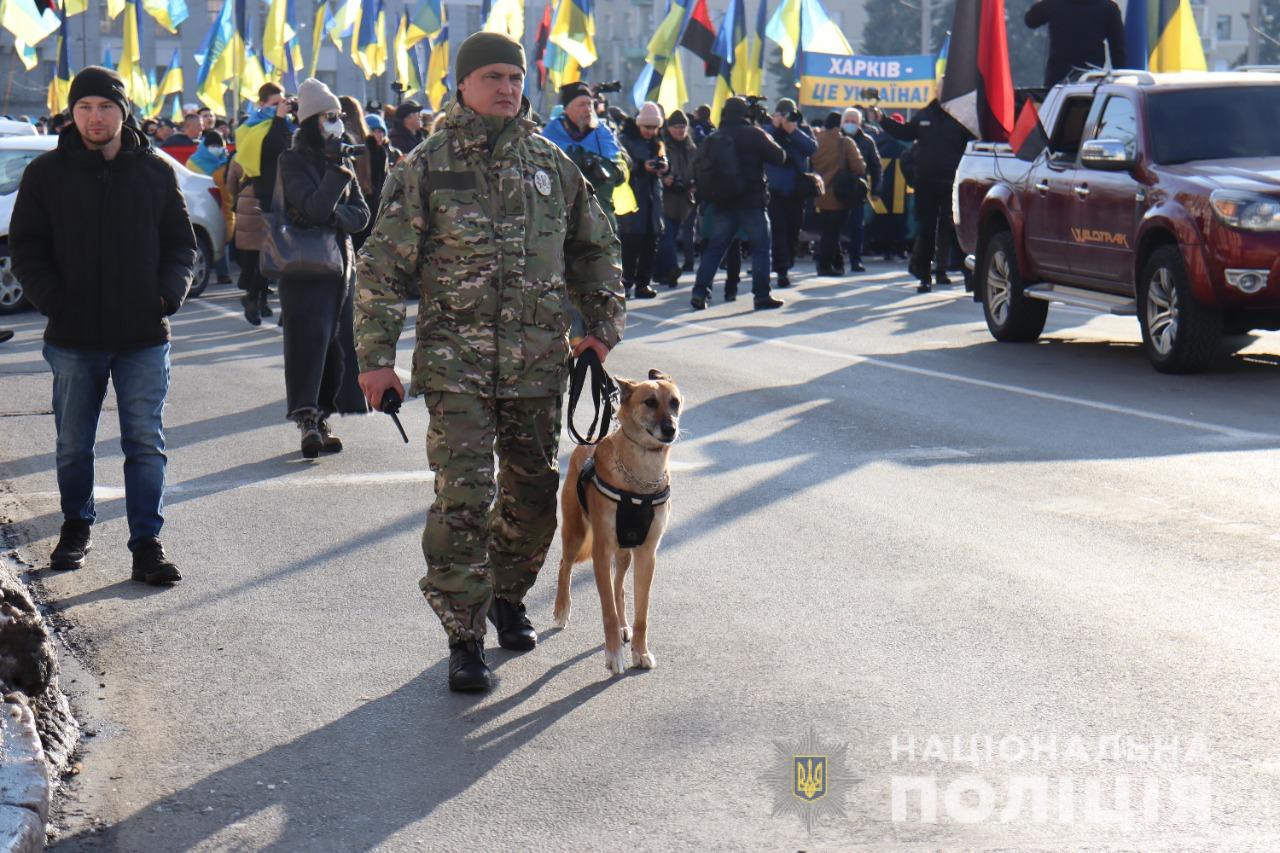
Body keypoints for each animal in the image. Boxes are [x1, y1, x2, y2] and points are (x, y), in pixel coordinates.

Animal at [555, 368, 686, 676]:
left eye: (674, 403)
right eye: (650, 402)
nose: (670, 429)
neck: (640, 477)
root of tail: (586, 443)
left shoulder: (647, 554)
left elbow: (642, 612)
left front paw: (640, 650)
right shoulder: (601, 552)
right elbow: (607, 612)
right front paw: (614, 654)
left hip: (625, 554)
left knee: (620, 588)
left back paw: (625, 625)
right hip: (575, 534)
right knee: (565, 565)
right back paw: (562, 609)